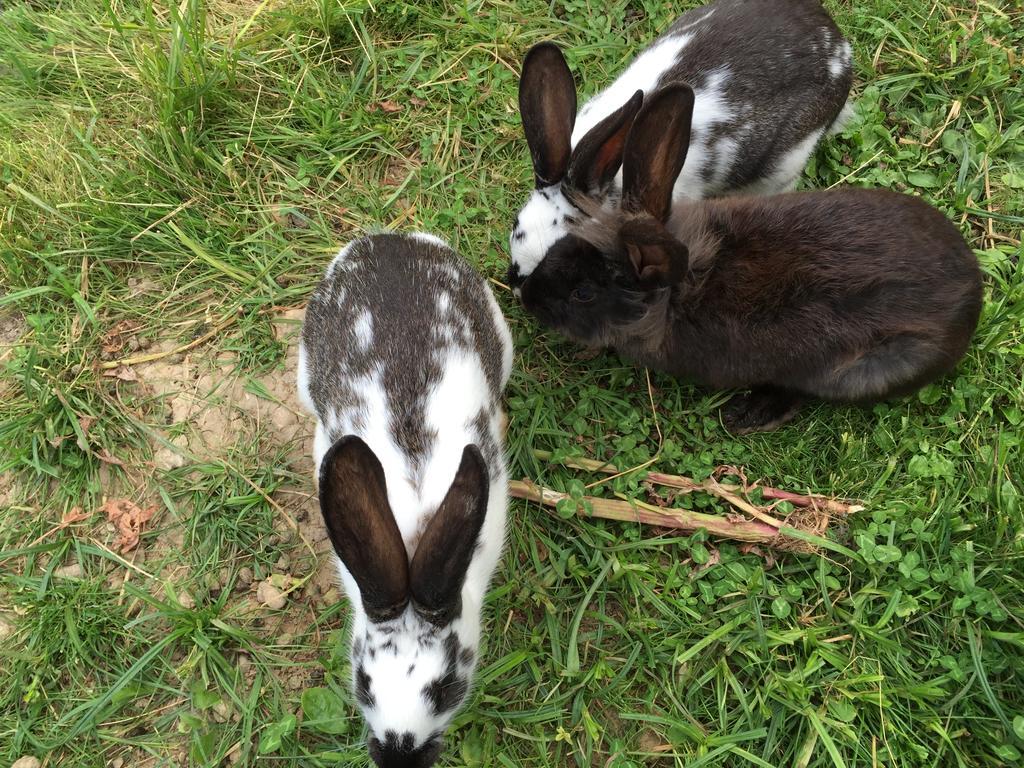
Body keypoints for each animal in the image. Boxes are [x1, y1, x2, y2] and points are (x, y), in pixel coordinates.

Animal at [520, 85, 983, 434]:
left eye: (582, 293)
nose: (527, 297)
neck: (675, 295)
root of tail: (973, 293)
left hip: (862, 370)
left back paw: (751, 414)